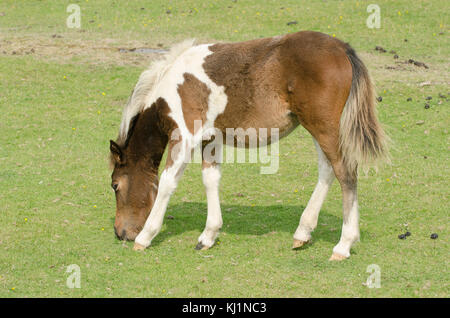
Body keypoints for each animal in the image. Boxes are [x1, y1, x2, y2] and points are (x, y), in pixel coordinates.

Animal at [109, 31, 386, 260]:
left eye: (115, 185)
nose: (120, 233)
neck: (170, 89)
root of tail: (342, 48)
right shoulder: (210, 138)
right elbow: (210, 179)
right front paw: (208, 236)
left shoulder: (185, 135)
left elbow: (167, 182)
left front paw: (145, 237)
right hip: (318, 127)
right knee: (327, 170)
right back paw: (303, 233)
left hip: (324, 126)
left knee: (346, 173)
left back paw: (343, 245)